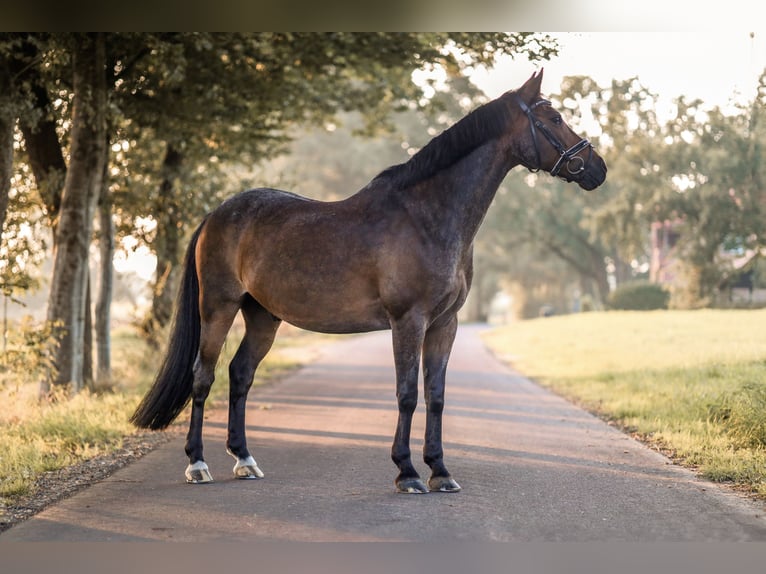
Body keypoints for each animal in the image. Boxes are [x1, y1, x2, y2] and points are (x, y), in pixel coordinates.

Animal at [134, 71, 612, 496]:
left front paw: (441, 471)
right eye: (553, 119)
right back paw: (198, 464)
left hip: (263, 316)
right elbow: (407, 394)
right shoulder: (408, 320)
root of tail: (216, 215)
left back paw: (245, 460)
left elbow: (436, 395)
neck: (426, 216)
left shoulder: (445, 324)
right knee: (203, 376)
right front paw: (408, 473)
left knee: (240, 374)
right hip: (218, 307)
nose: (597, 169)